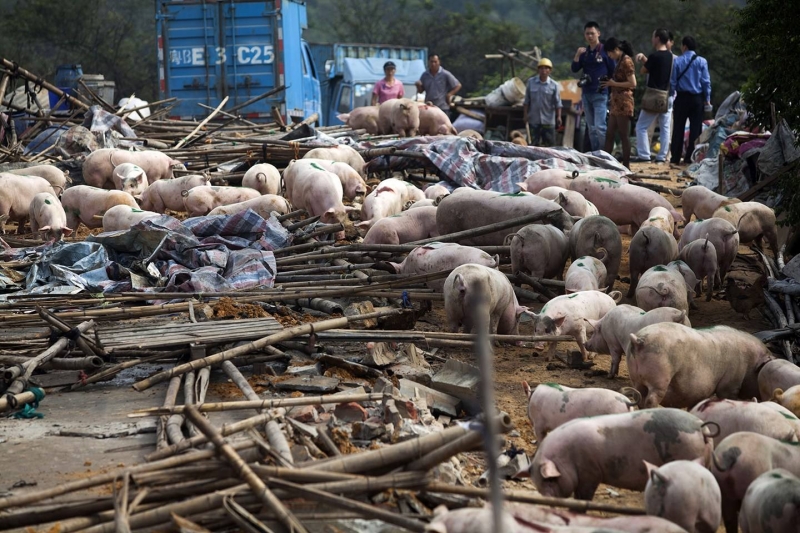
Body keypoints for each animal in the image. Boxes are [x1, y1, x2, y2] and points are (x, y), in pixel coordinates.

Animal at [532, 408, 712, 498]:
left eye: (550, 480)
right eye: (538, 485)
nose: (547, 500)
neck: (567, 457)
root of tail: (701, 427)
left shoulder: (590, 473)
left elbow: (583, 496)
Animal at [628, 324, 772, 408]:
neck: (750, 362)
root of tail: (638, 341)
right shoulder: (731, 384)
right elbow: (727, 394)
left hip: (637, 379)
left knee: (638, 396)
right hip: (660, 380)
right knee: (651, 399)